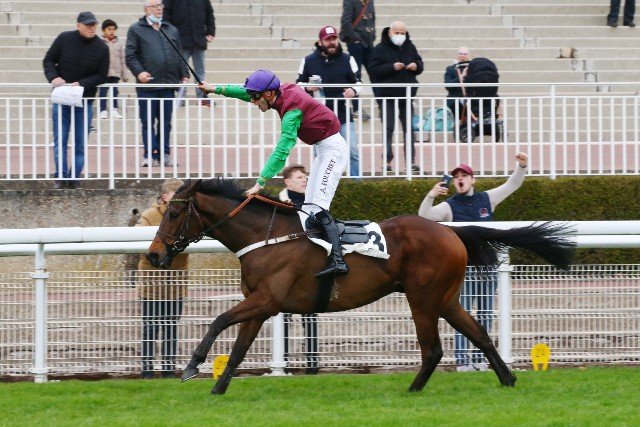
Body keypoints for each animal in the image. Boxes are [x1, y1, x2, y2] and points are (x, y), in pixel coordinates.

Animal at [146, 178, 575, 395]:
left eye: (173, 213)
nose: (153, 255)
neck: (265, 237)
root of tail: (450, 230)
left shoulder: (267, 299)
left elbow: (220, 320)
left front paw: (191, 367)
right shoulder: (261, 303)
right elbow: (237, 349)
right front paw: (218, 390)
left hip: (423, 298)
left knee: (433, 349)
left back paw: (413, 390)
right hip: (447, 298)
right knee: (479, 334)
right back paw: (507, 379)